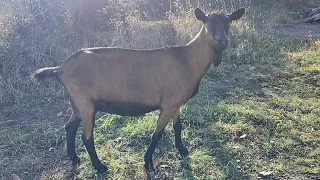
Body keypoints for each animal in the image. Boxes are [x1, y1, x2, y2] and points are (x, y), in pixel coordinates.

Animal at [31, 7, 245, 179]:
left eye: (228, 22)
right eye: (208, 24)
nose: (222, 42)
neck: (187, 60)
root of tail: (61, 69)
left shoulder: (175, 102)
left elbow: (178, 126)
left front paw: (182, 149)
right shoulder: (168, 105)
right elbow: (157, 134)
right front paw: (148, 163)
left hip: (76, 102)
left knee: (69, 127)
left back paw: (74, 158)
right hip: (86, 103)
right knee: (87, 137)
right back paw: (100, 167)